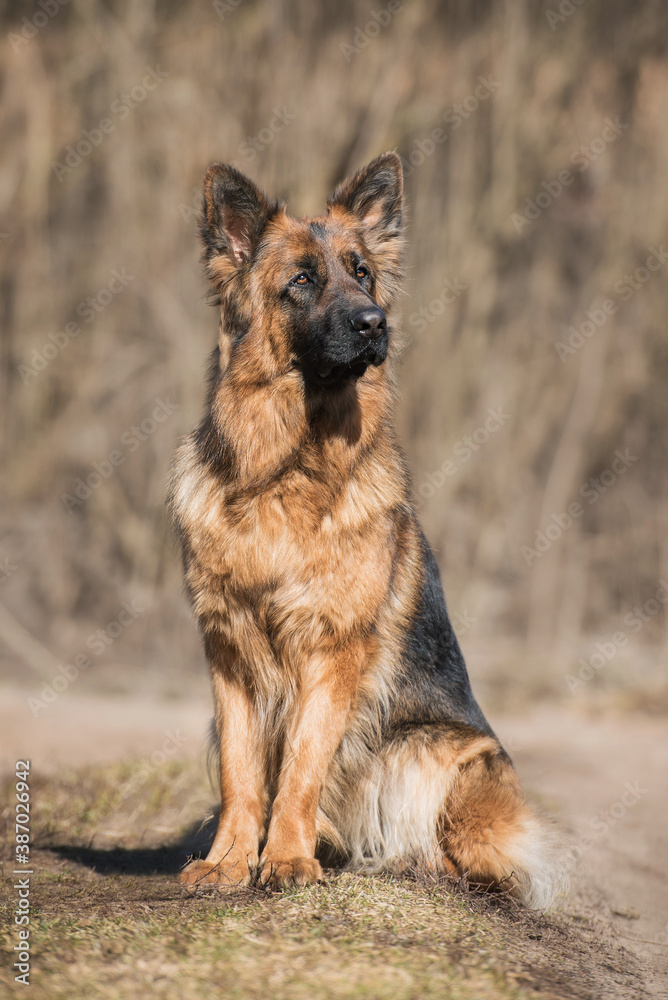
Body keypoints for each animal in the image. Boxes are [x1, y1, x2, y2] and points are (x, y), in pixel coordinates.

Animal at [167, 150, 560, 908]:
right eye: (301, 280)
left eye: (364, 274)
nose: (376, 324)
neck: (286, 470)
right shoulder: (228, 654)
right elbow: (241, 774)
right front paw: (229, 862)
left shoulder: (331, 650)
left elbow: (301, 766)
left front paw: (286, 860)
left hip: (434, 754)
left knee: (457, 853)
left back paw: (397, 861)